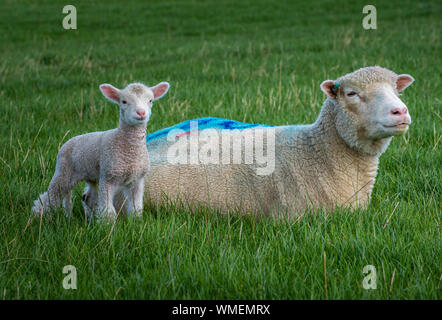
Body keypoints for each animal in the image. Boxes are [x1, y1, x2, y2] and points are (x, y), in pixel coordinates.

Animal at [32, 81, 170, 220]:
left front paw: (135, 221)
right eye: (124, 101)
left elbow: (136, 207)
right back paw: (40, 217)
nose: (141, 113)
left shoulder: (136, 180)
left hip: (91, 175)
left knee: (88, 198)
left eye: (150, 100)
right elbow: (107, 210)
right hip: (64, 171)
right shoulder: (108, 177)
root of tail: (68, 142)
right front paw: (108, 224)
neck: (127, 149)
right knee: (50, 197)